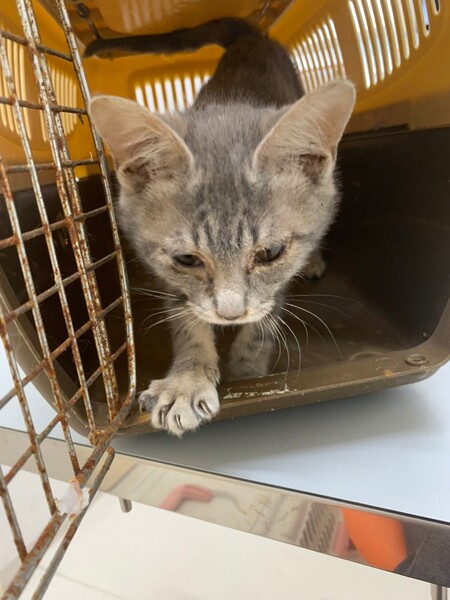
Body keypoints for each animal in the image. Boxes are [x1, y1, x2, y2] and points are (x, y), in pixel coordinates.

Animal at [88, 18, 356, 436]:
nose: (231, 315)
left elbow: (264, 321)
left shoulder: (276, 281)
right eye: (187, 259)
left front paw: (248, 373)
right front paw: (187, 380)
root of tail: (252, 34)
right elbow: (186, 316)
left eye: (269, 253)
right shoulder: (170, 277)